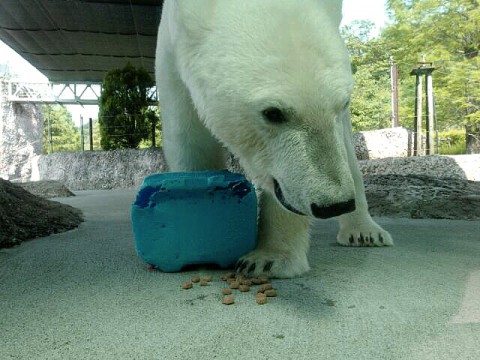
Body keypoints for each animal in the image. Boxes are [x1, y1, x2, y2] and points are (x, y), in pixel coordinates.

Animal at [156, 0, 392, 278]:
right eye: (273, 113)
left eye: (342, 102)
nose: (334, 204)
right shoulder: (173, 49)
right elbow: (191, 140)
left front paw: (268, 259)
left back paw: (364, 232)